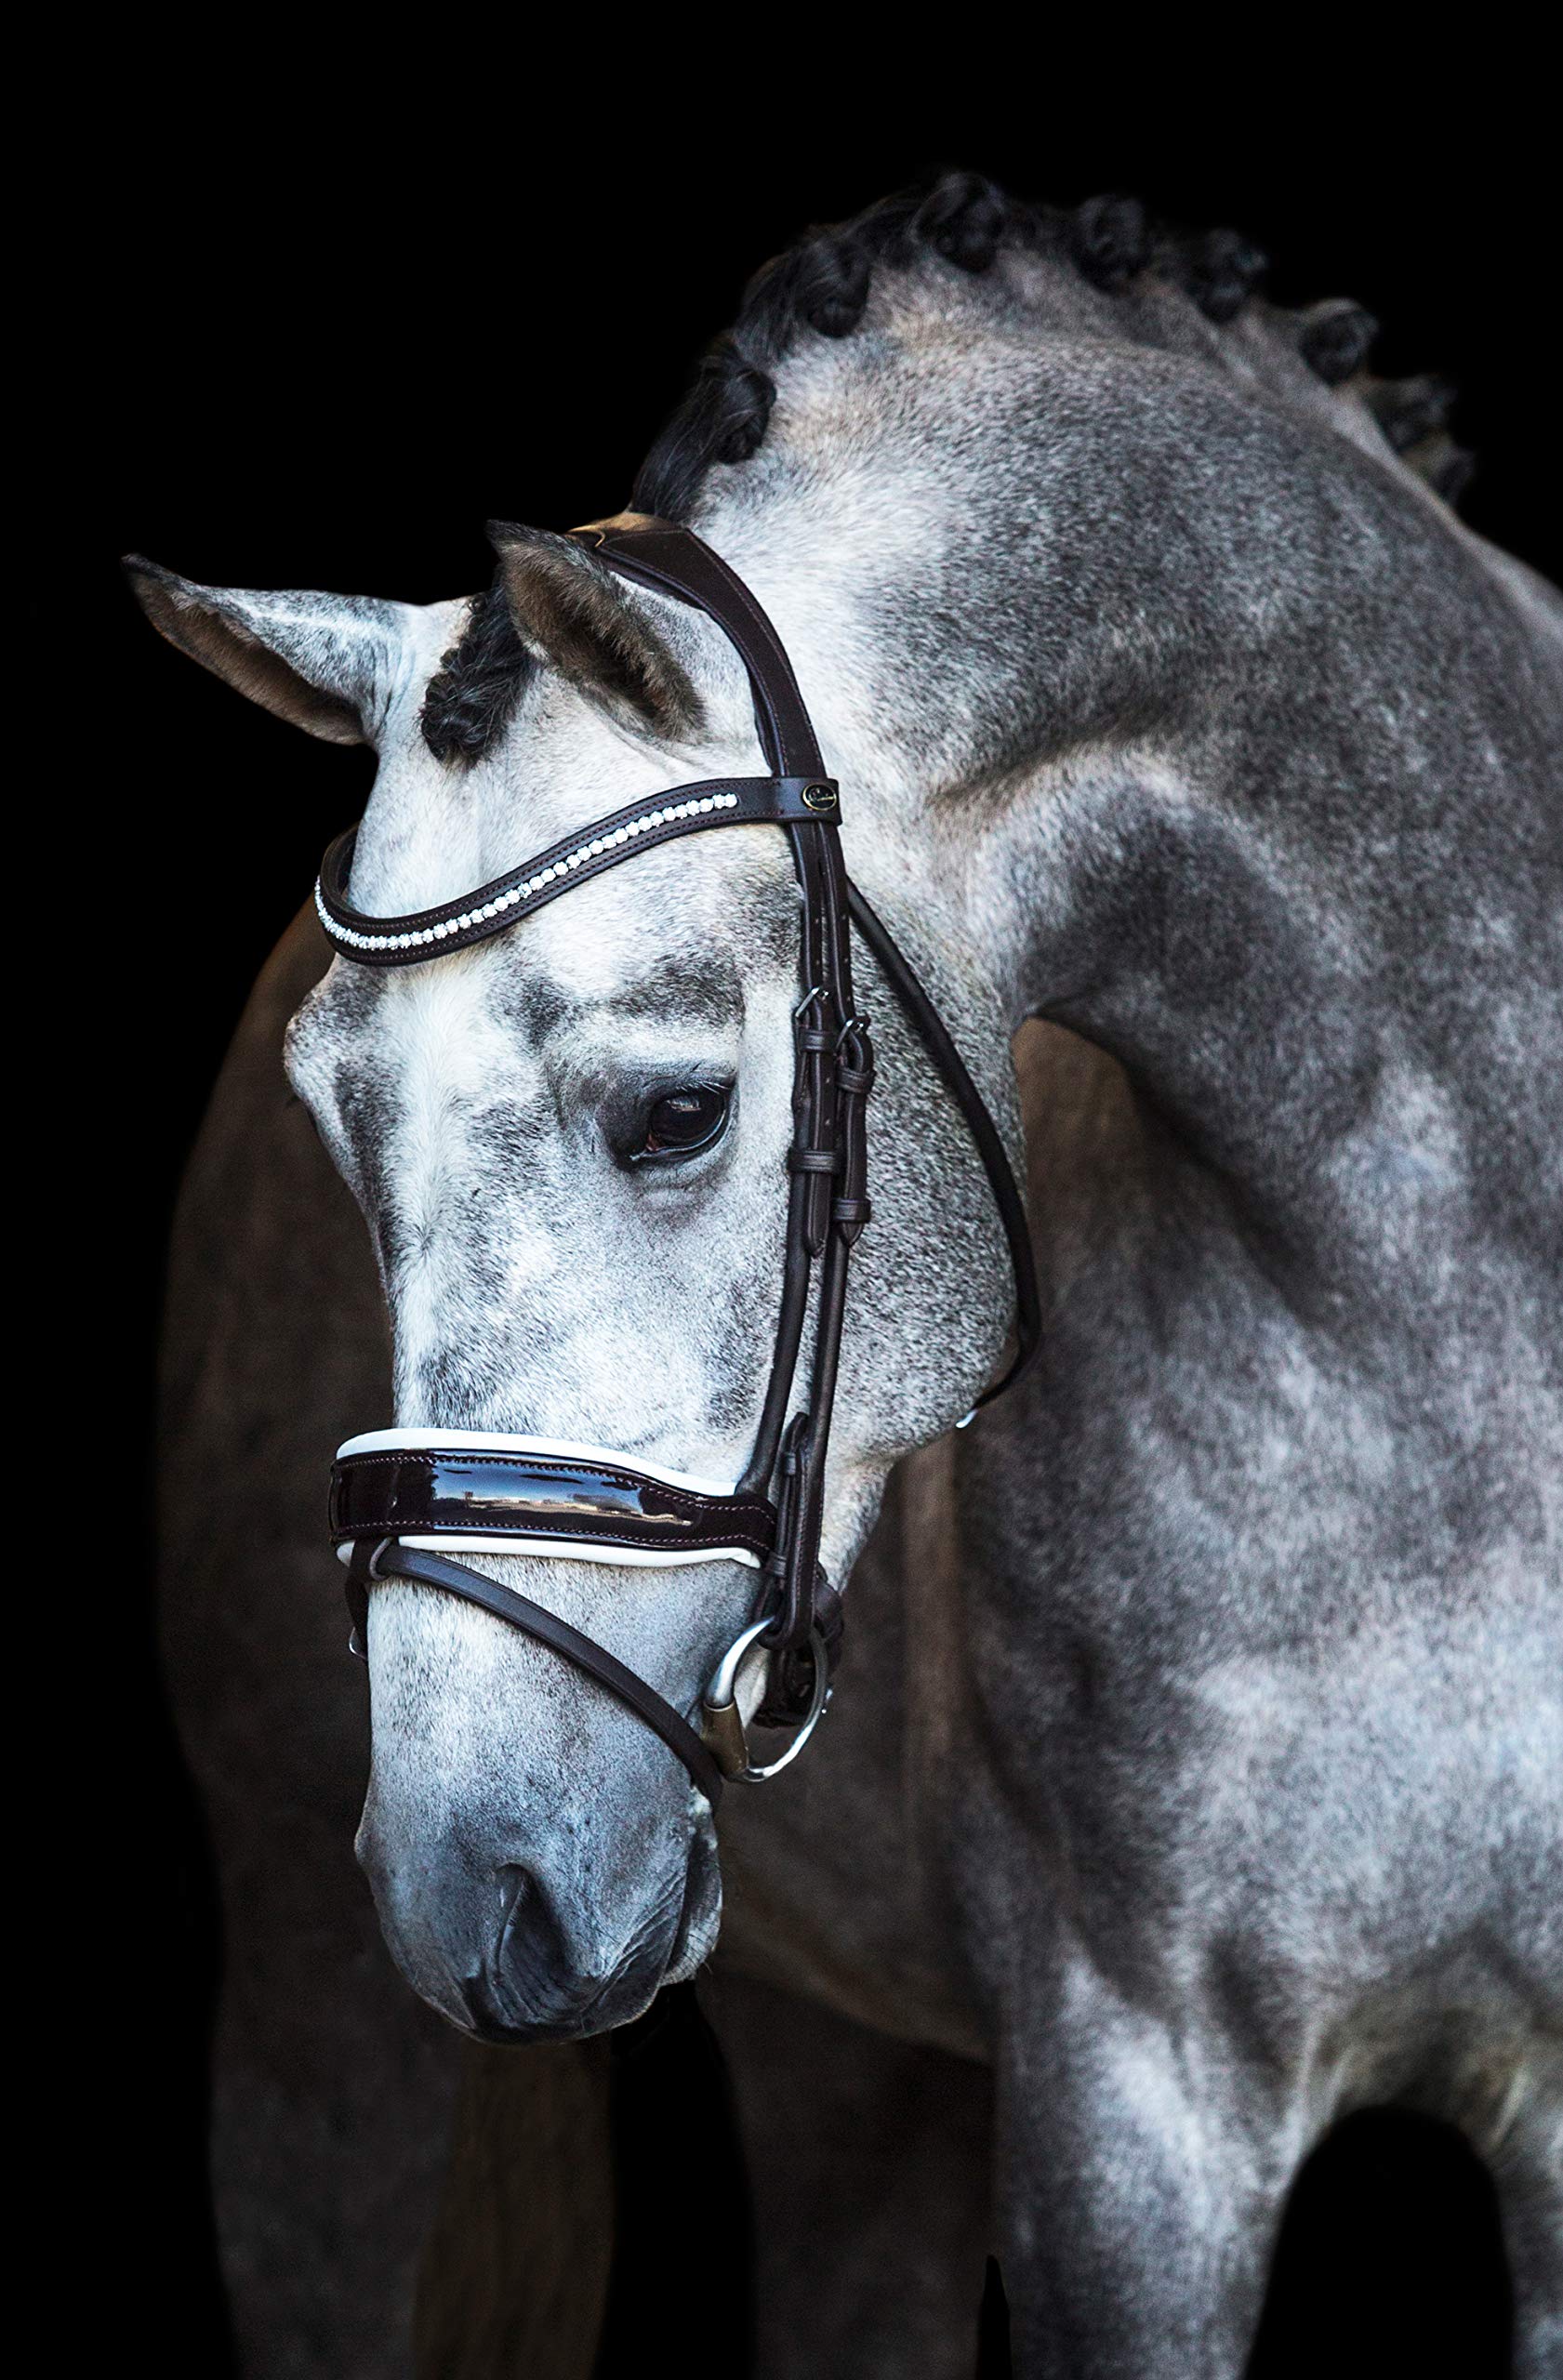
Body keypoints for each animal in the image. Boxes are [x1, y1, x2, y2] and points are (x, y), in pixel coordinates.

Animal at [139, 176, 1562, 2376]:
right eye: (334, 1118)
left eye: (674, 1108)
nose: (476, 1888)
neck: (1450, 1349)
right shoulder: (1131, 2113)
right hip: (317, 2048)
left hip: (858, 2078)